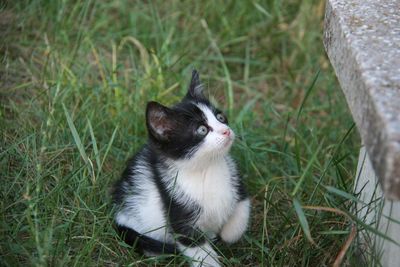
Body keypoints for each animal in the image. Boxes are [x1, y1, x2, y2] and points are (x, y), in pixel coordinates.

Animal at [111, 70, 250, 266]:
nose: (226, 130)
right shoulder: (176, 209)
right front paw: (210, 259)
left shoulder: (236, 180)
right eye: (201, 130)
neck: (207, 168)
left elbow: (242, 208)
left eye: (220, 117)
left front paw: (228, 233)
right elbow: (194, 246)